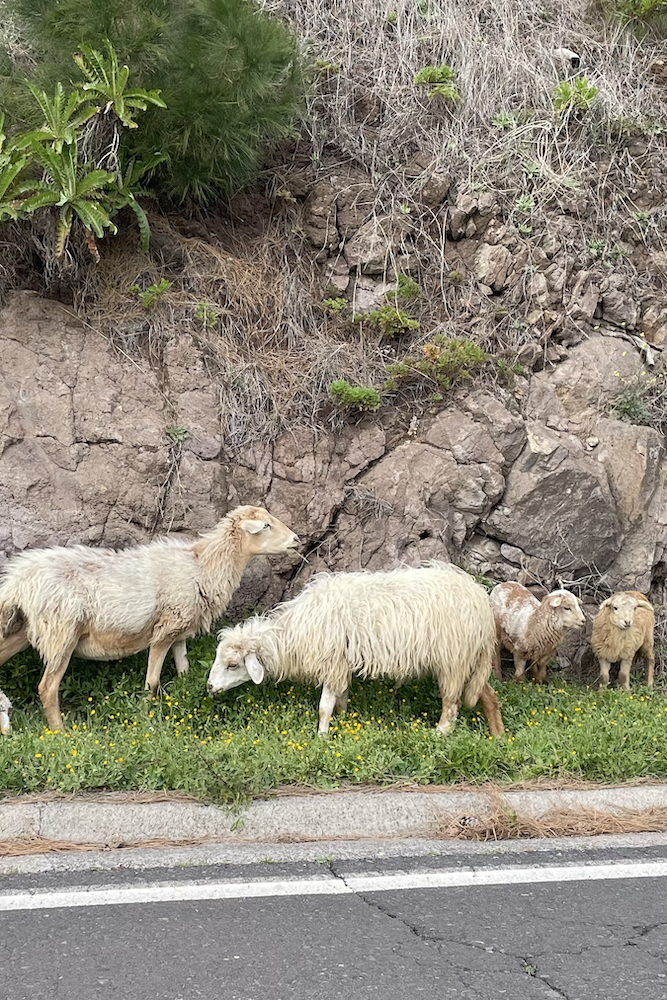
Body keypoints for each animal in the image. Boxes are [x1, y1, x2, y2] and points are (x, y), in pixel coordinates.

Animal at [0, 504, 300, 732]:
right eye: (266, 525)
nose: (297, 540)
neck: (202, 564)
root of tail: (18, 580)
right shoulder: (164, 628)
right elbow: (152, 681)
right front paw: (147, 716)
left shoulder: (180, 629)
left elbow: (183, 669)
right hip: (61, 631)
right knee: (47, 687)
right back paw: (60, 733)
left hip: (21, 630)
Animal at [206, 568, 504, 740]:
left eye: (232, 664)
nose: (209, 687)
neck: (294, 633)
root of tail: (479, 597)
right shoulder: (341, 664)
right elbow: (340, 700)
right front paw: (344, 721)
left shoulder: (331, 663)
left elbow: (324, 706)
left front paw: (322, 736)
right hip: (468, 659)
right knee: (488, 695)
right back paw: (498, 737)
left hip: (453, 658)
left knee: (451, 704)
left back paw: (439, 733)